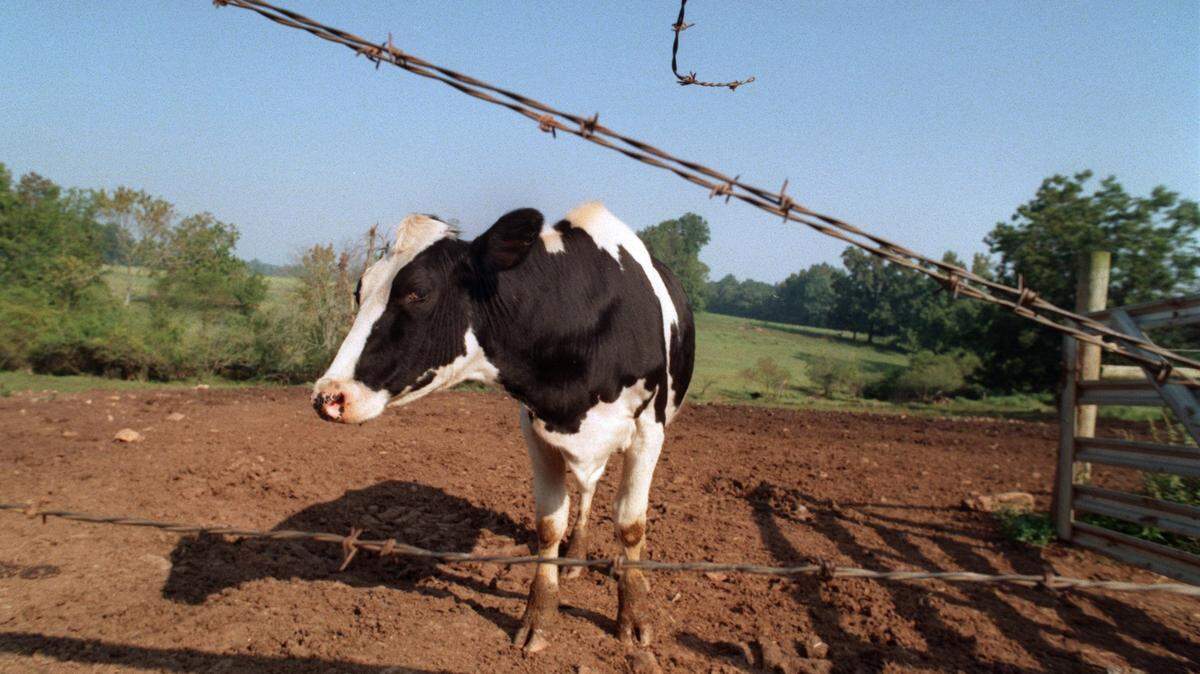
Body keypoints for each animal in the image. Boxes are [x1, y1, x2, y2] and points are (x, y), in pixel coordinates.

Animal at [311, 201, 695, 653]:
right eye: (360, 289)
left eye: (417, 292)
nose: (329, 396)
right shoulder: (536, 428)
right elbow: (549, 523)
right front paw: (538, 617)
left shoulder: (649, 430)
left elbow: (631, 524)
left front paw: (634, 617)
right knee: (588, 489)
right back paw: (576, 555)